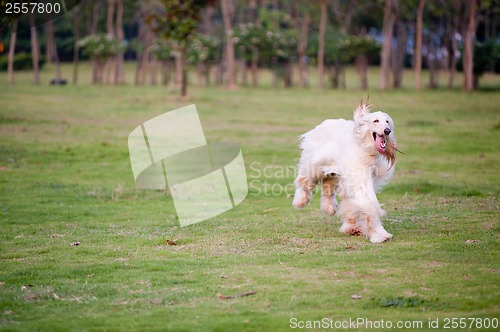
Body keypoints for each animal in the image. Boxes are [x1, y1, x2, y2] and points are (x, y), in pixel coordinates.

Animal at [292, 99, 398, 244]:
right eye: (376, 121)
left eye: (387, 121)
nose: (387, 131)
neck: (364, 148)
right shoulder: (360, 178)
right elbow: (368, 204)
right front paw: (379, 234)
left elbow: (352, 204)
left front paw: (351, 227)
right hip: (316, 164)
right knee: (305, 180)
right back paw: (300, 200)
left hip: (333, 171)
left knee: (328, 185)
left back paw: (329, 208)